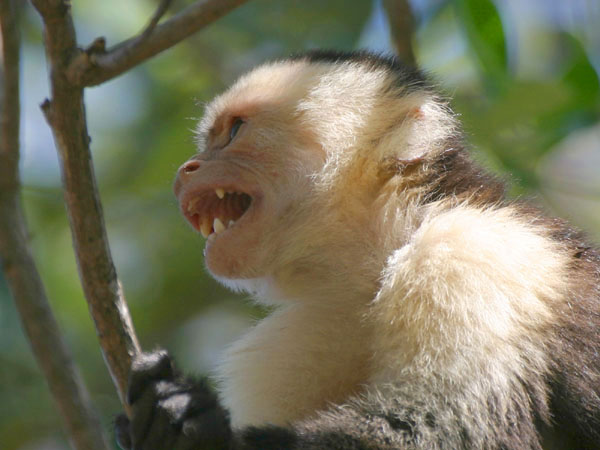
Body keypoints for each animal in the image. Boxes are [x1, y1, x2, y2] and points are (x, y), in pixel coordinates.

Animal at [113, 51, 600, 448]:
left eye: (234, 131)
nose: (186, 169)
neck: (381, 258)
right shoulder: (310, 330)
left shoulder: (470, 253)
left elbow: (448, 432)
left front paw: (191, 425)